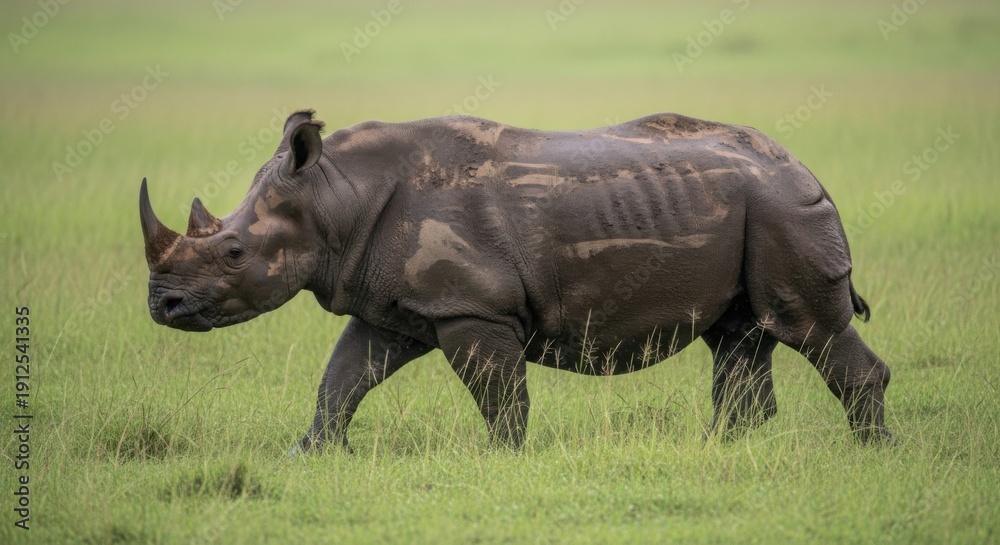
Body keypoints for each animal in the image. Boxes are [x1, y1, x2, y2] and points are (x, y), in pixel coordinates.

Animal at [140, 110, 892, 453]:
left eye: (233, 252)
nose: (161, 305)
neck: (334, 198)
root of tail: (805, 167)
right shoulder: (389, 305)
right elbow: (343, 377)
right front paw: (312, 452)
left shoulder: (474, 308)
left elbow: (500, 394)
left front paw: (502, 457)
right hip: (758, 209)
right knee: (741, 336)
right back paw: (721, 448)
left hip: (782, 209)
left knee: (809, 329)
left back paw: (871, 451)